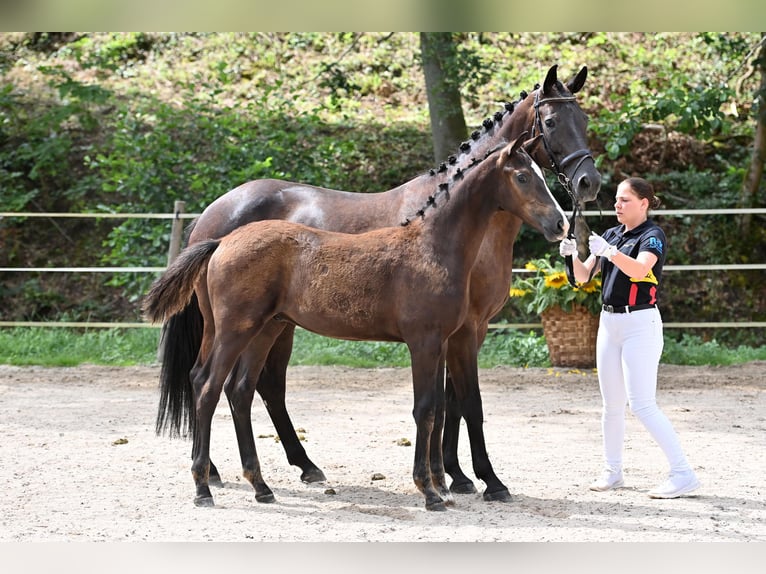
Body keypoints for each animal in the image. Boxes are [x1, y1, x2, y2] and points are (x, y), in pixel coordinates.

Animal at [154, 64, 600, 504]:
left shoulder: (453, 334)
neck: (434, 240)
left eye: (584, 118)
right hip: (240, 329)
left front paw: (451, 478)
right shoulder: (445, 334)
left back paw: (265, 480)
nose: (585, 188)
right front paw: (462, 482)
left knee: (237, 387)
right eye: (551, 121)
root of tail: (216, 233)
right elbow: (443, 406)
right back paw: (208, 482)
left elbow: (449, 404)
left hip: (264, 327)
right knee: (214, 385)